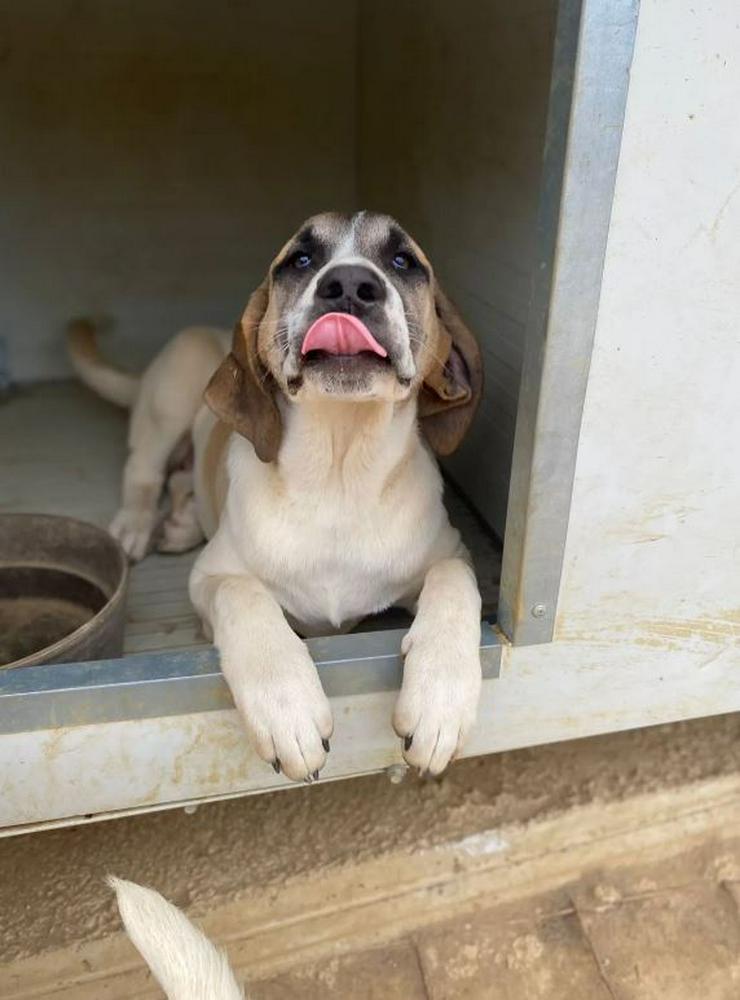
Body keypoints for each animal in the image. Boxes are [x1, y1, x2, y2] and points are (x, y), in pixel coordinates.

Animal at [69, 213, 486, 780]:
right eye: (300, 260)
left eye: (403, 261)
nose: (350, 285)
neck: (339, 476)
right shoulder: (210, 577)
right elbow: (244, 595)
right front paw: (287, 707)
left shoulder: (453, 553)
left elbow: (456, 584)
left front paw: (441, 699)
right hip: (171, 395)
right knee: (144, 470)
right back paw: (136, 524)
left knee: (180, 479)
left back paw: (180, 521)